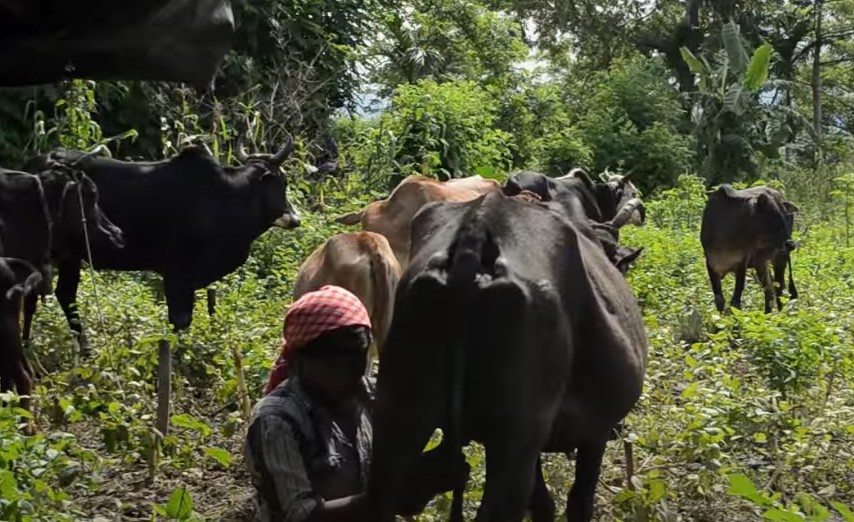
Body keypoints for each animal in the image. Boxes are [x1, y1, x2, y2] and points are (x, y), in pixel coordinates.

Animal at [26, 140, 301, 350]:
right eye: (282, 181)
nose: (296, 218)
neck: (226, 197)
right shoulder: (176, 272)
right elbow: (179, 319)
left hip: (69, 256)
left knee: (61, 295)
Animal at [366, 192, 648, 522]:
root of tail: (475, 236)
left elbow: (543, 502)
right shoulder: (596, 429)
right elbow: (578, 501)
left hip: (397, 416)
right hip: (515, 440)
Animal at [700, 184, 799, 313]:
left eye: (784, 216)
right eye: (771, 216)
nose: (791, 244)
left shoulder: (741, 264)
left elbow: (735, 302)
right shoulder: (711, 264)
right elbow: (719, 300)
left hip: (780, 258)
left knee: (779, 289)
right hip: (761, 263)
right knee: (769, 290)